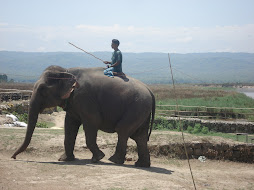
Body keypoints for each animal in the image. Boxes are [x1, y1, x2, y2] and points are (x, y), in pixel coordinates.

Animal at [11, 65, 155, 168]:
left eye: (42, 89)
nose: (13, 157)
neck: (67, 71)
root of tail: (150, 91)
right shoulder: (73, 103)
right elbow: (69, 125)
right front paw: (65, 159)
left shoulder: (85, 98)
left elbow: (92, 122)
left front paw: (98, 158)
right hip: (141, 110)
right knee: (140, 137)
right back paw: (141, 165)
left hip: (136, 107)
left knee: (123, 130)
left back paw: (114, 160)